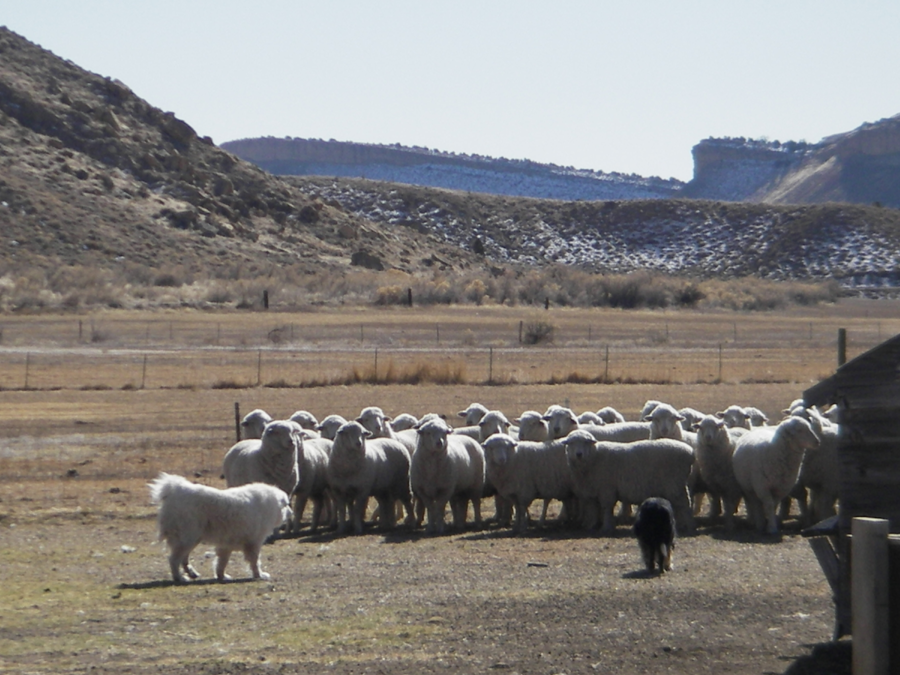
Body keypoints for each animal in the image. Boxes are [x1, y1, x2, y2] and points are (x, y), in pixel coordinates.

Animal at [146, 472, 290, 584]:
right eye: (287, 505)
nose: (291, 513)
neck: (269, 504)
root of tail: (173, 490)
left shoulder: (226, 545)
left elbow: (221, 563)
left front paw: (222, 577)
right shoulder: (253, 543)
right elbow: (254, 561)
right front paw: (259, 575)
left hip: (192, 539)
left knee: (183, 559)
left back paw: (192, 574)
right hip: (187, 539)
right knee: (174, 560)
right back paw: (179, 578)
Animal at [564, 430, 696, 536]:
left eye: (586, 442)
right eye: (571, 443)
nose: (579, 454)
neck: (595, 457)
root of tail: (690, 453)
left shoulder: (607, 488)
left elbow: (606, 508)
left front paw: (606, 528)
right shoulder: (592, 489)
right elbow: (592, 508)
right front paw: (591, 526)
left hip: (674, 484)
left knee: (684, 504)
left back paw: (688, 526)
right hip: (676, 485)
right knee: (681, 504)